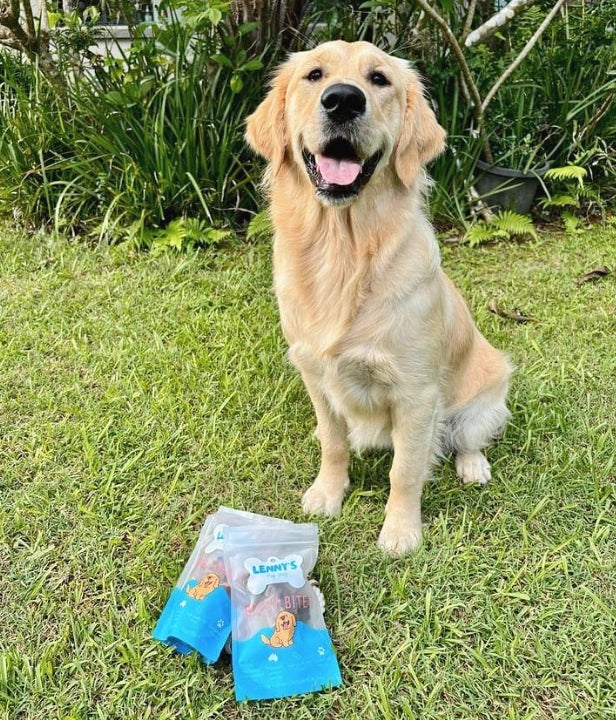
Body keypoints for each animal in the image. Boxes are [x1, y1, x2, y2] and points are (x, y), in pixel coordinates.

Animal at [245, 39, 510, 556]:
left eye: (379, 79)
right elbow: (333, 443)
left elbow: (404, 471)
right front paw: (327, 493)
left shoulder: (416, 393)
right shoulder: (315, 375)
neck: (343, 251)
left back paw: (473, 466)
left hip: (485, 396)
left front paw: (401, 531)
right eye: (314, 74)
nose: (343, 100)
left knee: (467, 437)